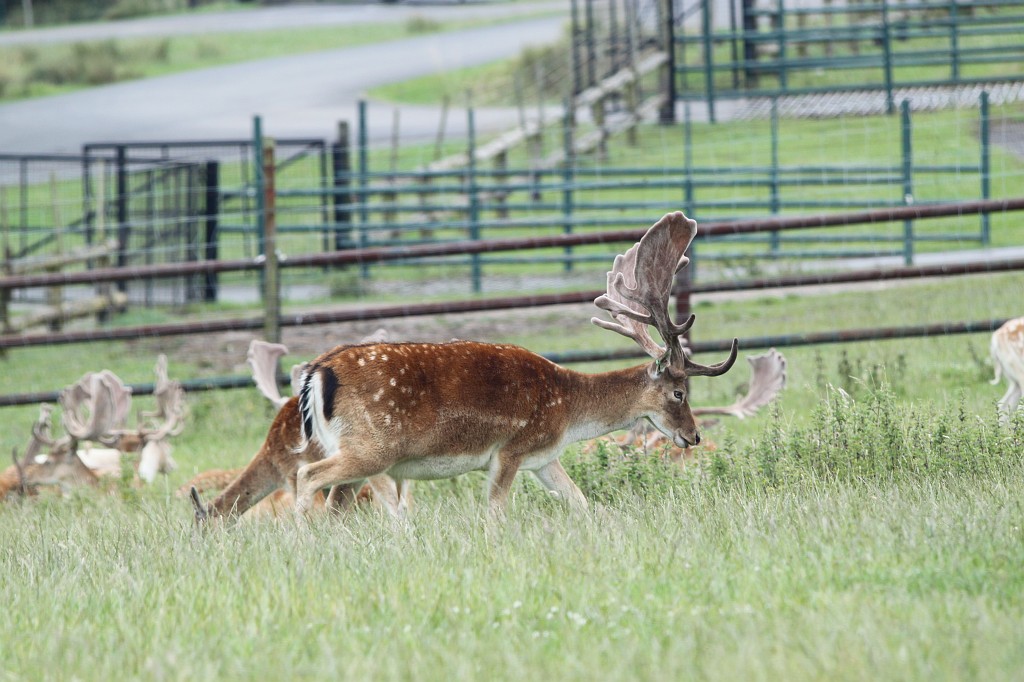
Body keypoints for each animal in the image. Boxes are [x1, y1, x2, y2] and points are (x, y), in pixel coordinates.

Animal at [190, 211, 738, 521]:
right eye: (680, 392)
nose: (693, 436)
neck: (567, 412)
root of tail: (318, 373)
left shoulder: (544, 458)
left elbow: (580, 501)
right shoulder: (510, 449)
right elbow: (493, 515)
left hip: (351, 452)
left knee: (335, 501)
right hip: (370, 449)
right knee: (309, 479)